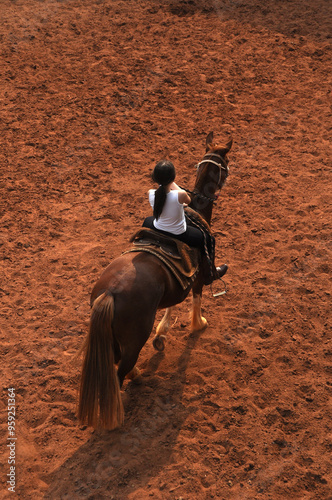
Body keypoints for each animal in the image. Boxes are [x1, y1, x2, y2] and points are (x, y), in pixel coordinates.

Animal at [79, 132, 232, 430]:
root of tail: (110, 293)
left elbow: (173, 303)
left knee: (119, 364)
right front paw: (198, 324)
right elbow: (195, 298)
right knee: (119, 372)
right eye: (226, 164)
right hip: (133, 338)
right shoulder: (199, 275)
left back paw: (138, 375)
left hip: (114, 338)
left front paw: (162, 334)